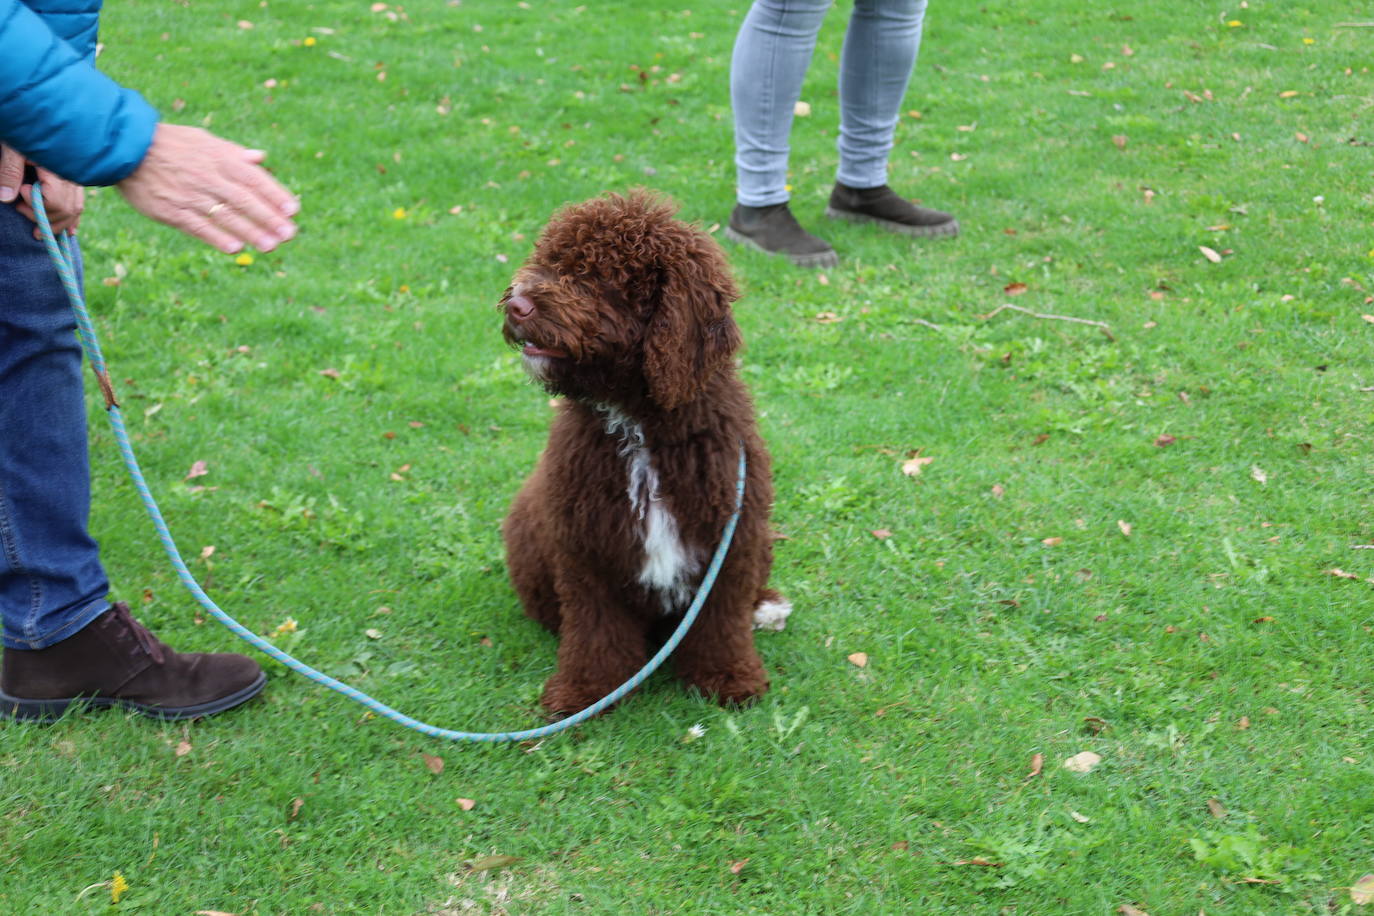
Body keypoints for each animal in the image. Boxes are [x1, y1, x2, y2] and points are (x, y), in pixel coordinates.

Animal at [500, 189, 791, 714]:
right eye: (550, 261)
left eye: (595, 275)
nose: (517, 304)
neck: (640, 430)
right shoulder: (586, 550)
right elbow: (594, 629)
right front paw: (587, 692)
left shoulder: (729, 541)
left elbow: (722, 621)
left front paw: (728, 677)